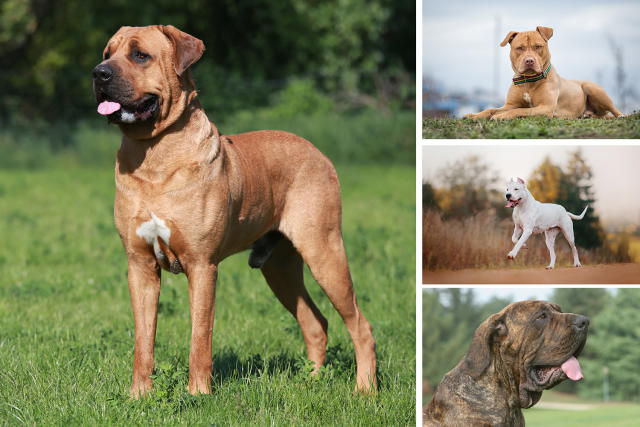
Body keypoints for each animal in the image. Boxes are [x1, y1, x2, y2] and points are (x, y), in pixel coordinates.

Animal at [92, 25, 378, 400]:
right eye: (107, 53)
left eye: (140, 55)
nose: (98, 73)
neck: (154, 152)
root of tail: (318, 152)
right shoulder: (139, 266)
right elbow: (144, 340)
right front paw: (140, 395)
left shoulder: (202, 266)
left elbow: (200, 337)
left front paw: (198, 394)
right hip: (279, 267)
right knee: (315, 322)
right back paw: (311, 381)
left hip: (324, 252)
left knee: (360, 324)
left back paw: (365, 388)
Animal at [468, 25, 624, 119]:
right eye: (520, 48)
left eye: (538, 46)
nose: (529, 60)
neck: (528, 81)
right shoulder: (510, 104)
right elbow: (492, 109)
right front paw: (474, 115)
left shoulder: (545, 107)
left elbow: (520, 110)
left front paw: (501, 116)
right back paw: (587, 115)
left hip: (591, 87)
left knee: (614, 111)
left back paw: (621, 116)